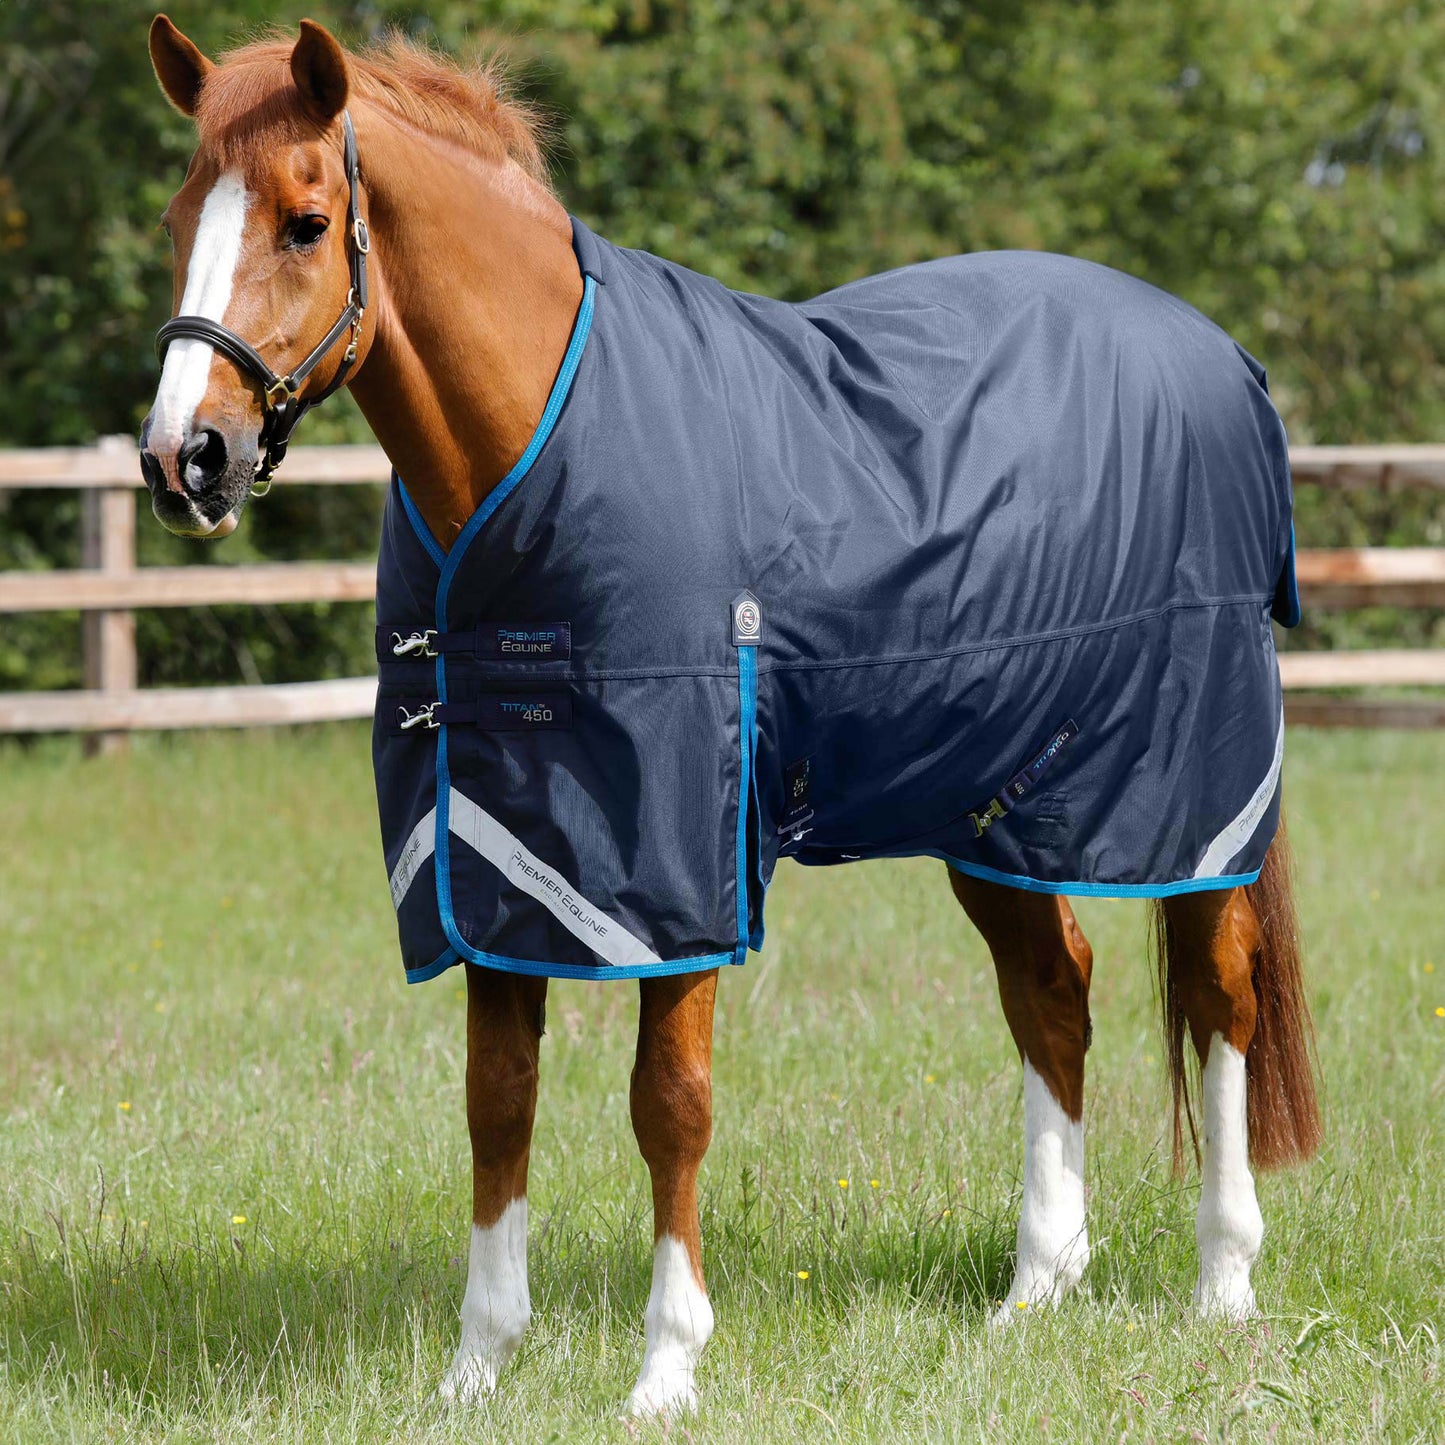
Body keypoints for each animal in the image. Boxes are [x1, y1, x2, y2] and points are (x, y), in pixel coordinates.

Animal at [139, 16, 1321, 1416]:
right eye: (179, 218)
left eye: (308, 221)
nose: (183, 457)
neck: (539, 442)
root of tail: (1225, 358)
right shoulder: (497, 857)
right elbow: (497, 1099)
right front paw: (477, 1366)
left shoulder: (676, 866)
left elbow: (670, 1102)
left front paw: (665, 1366)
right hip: (995, 802)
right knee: (1051, 992)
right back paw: (1036, 1286)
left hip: (1188, 791)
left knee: (1220, 990)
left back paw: (1223, 1282)